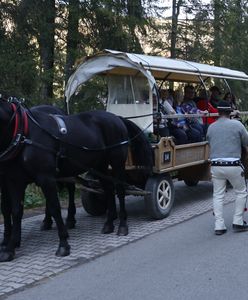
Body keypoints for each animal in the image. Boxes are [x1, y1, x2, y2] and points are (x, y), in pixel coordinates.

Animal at [0, 98, 153, 260]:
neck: (23, 132)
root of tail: (117, 118)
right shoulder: (14, 180)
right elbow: (15, 211)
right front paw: (9, 247)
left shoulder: (46, 178)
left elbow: (55, 208)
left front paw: (63, 244)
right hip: (100, 165)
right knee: (108, 188)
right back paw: (109, 223)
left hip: (117, 161)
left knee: (120, 190)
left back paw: (122, 225)